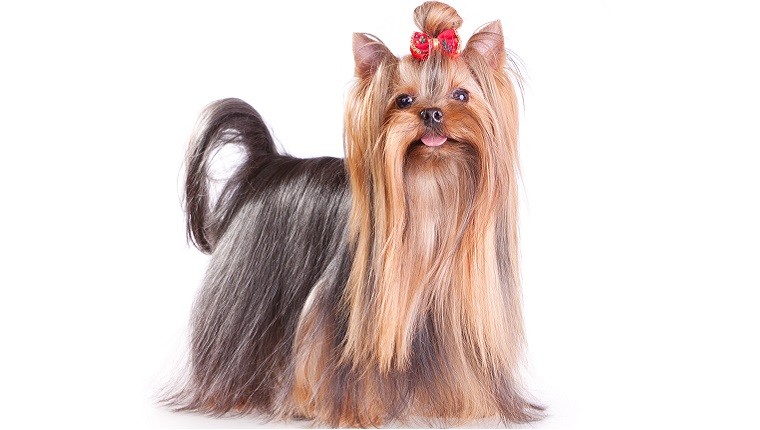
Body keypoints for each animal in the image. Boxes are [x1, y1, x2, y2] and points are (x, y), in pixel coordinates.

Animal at [165, 1, 540, 426]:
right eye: (403, 100)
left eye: (461, 95)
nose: (432, 113)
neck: (432, 192)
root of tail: (265, 164)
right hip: (242, 290)